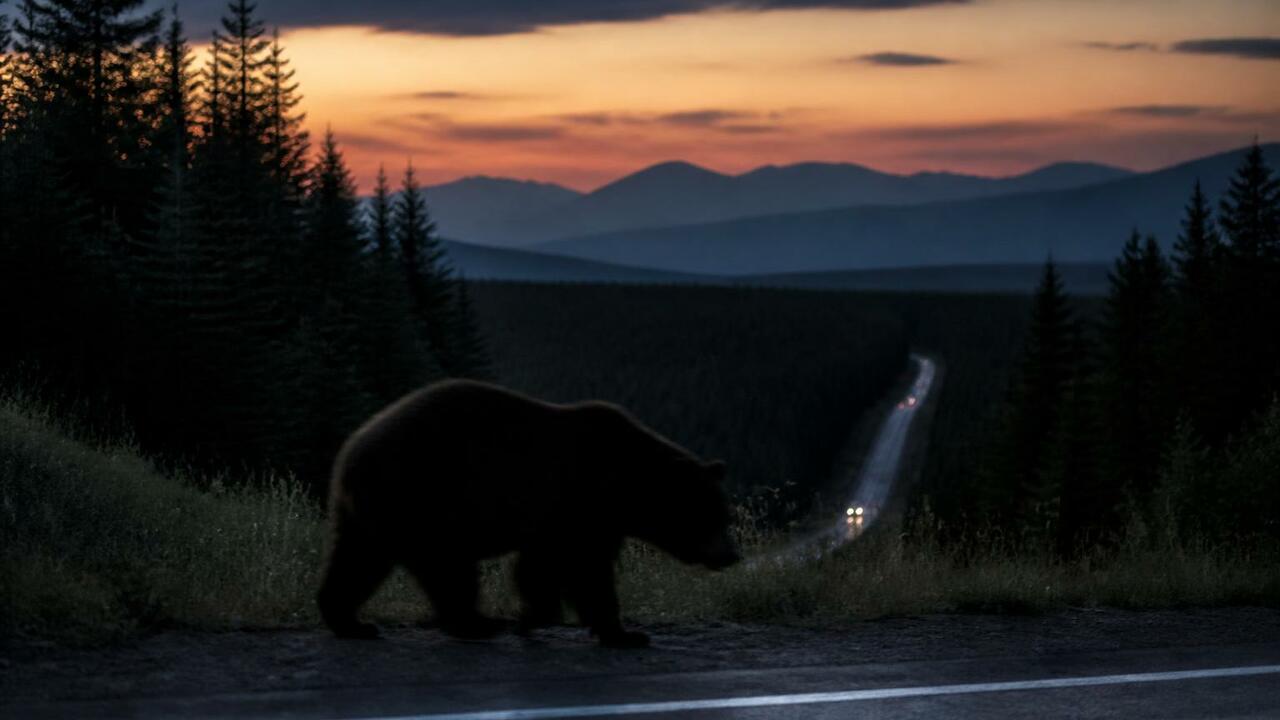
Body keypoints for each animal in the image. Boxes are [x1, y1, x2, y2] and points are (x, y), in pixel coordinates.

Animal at [316, 379, 740, 648]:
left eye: (726, 515)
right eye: (713, 516)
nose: (732, 555)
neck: (624, 484)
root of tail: (352, 450)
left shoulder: (572, 517)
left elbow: (545, 566)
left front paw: (539, 615)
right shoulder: (578, 502)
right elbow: (583, 568)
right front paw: (623, 633)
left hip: (371, 513)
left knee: (358, 561)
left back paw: (350, 622)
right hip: (424, 494)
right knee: (446, 566)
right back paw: (477, 623)